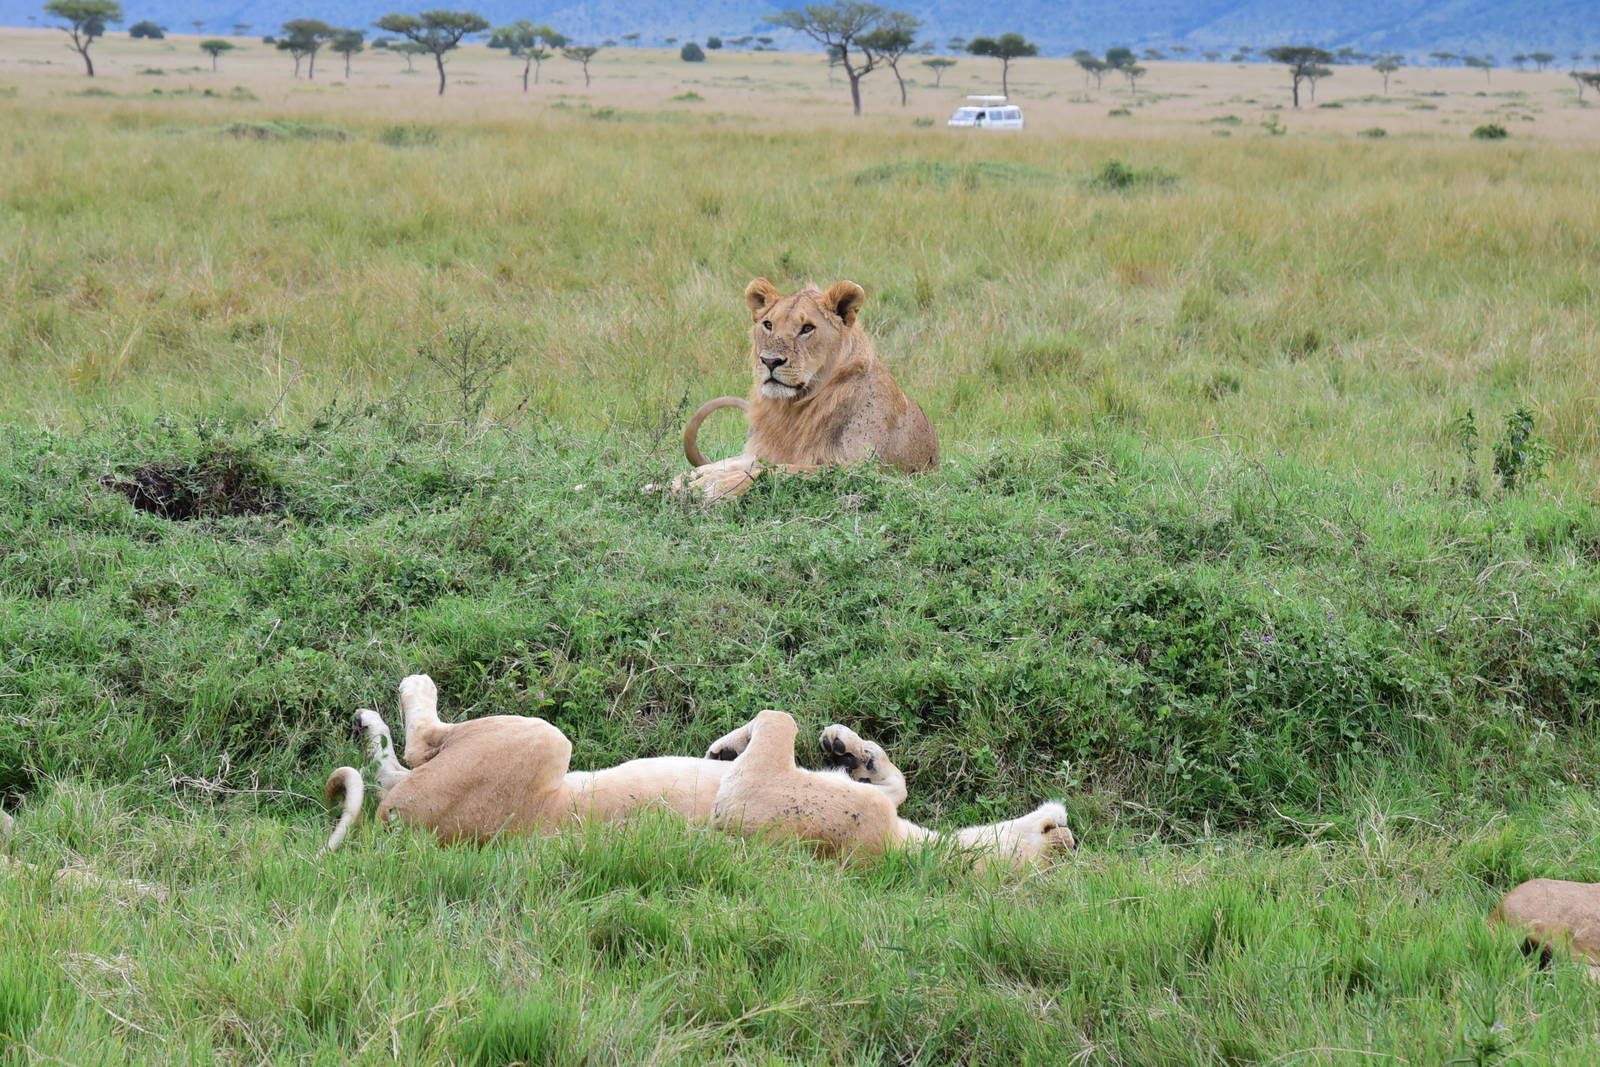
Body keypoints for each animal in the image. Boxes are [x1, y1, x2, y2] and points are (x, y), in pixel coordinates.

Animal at [323, 675, 1074, 871]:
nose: (1070, 830)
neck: (909, 848)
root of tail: (398, 827)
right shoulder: (882, 802)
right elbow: (895, 780)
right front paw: (849, 747)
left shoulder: (748, 801)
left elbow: (777, 716)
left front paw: (727, 744)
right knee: (391, 767)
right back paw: (367, 724)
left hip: (541, 740)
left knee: (420, 744)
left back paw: (399, 698)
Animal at [673, 278, 940, 502]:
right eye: (768, 324)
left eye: (807, 328)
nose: (769, 361)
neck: (790, 408)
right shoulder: (767, 450)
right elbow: (735, 463)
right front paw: (681, 481)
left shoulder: (858, 470)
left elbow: (779, 470)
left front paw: (713, 486)